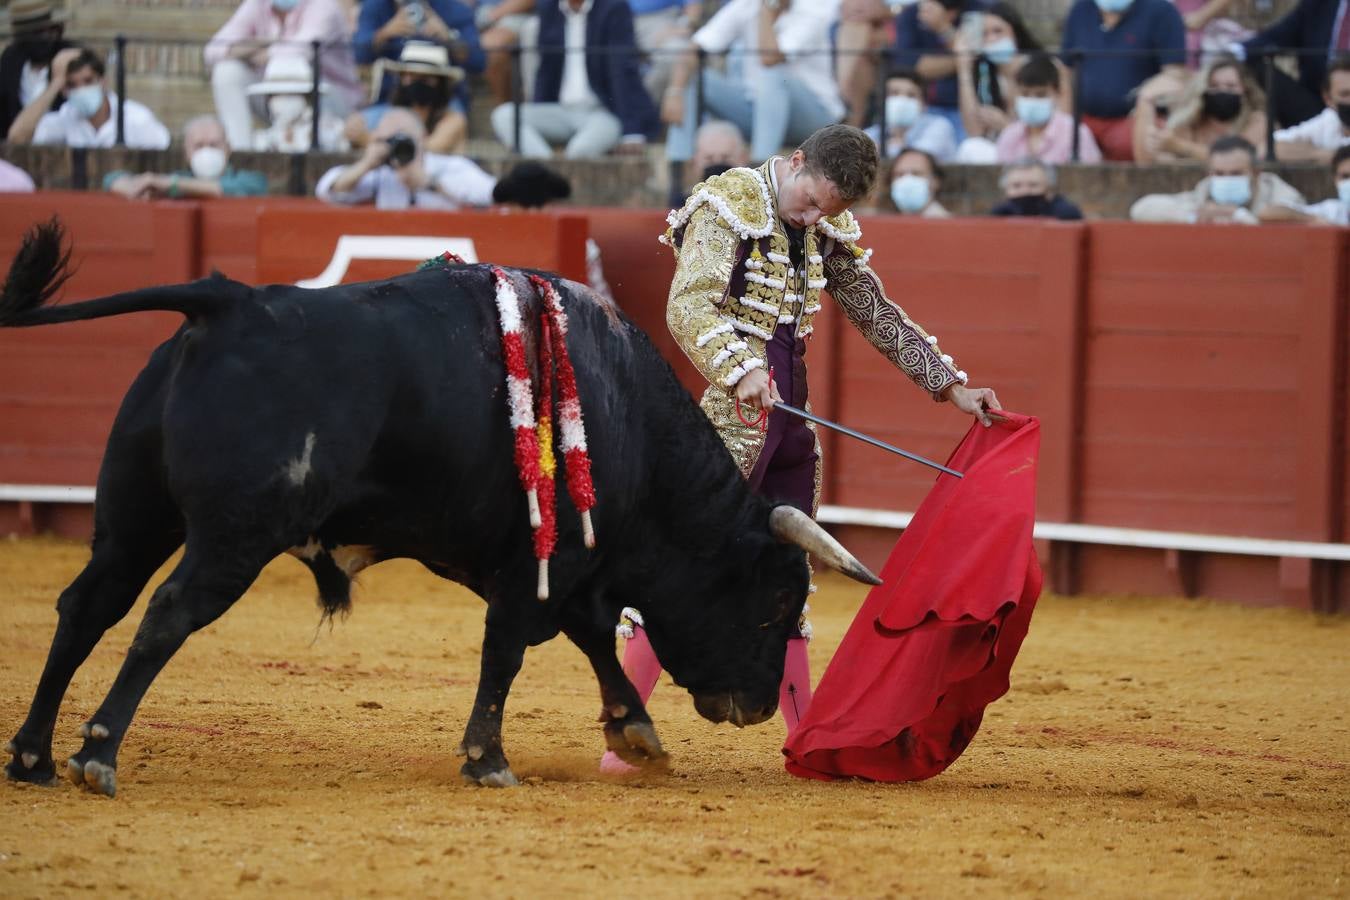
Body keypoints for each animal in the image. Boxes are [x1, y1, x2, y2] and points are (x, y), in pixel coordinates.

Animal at [0, 223, 880, 793]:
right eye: (776, 604)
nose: (759, 707)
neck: (626, 414)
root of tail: (233, 301)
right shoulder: (544, 563)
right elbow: (513, 650)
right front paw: (489, 760)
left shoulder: (561, 566)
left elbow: (591, 639)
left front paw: (637, 735)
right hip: (233, 537)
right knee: (166, 614)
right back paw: (97, 754)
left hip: (134, 518)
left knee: (88, 605)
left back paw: (35, 757)